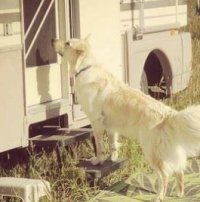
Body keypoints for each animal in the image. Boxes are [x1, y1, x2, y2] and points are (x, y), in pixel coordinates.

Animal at [52, 38, 200, 202]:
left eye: (67, 43)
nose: (52, 40)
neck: (86, 67)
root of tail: (168, 114)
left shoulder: (96, 121)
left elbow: (99, 145)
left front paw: (98, 160)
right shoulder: (111, 126)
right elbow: (113, 144)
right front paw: (113, 158)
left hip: (151, 152)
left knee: (165, 174)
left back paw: (159, 196)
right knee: (180, 171)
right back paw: (179, 194)